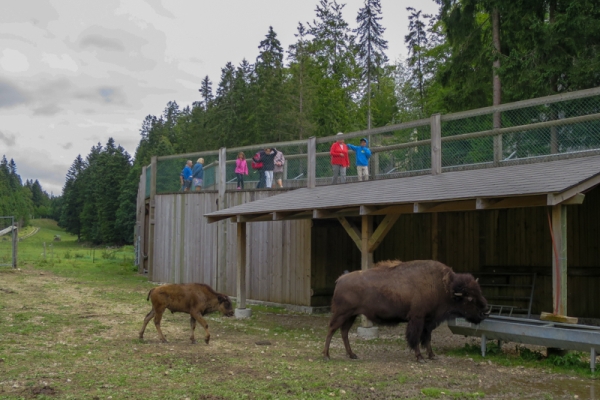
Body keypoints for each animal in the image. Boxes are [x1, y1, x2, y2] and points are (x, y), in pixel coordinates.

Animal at [324, 260, 488, 362]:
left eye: (479, 292)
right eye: (470, 298)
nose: (485, 311)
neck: (443, 286)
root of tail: (340, 279)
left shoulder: (428, 321)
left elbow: (427, 338)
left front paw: (432, 356)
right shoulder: (417, 319)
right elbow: (415, 337)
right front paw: (420, 358)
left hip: (351, 315)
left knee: (344, 332)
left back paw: (352, 355)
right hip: (342, 313)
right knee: (332, 329)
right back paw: (326, 355)